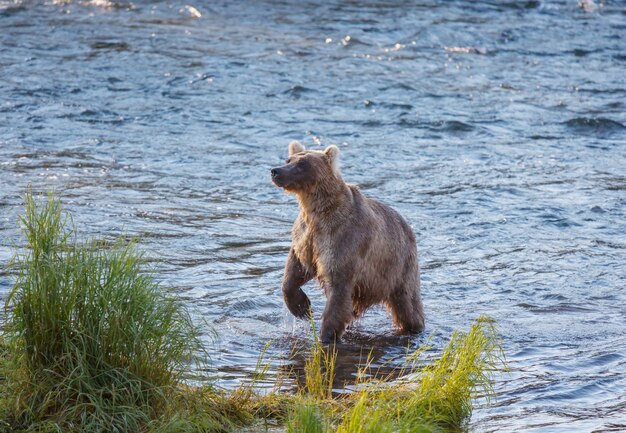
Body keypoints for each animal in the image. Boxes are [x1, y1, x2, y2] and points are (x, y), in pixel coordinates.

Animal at [270, 141, 424, 340]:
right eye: (288, 160)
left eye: (303, 164)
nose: (276, 171)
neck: (317, 212)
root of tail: (407, 226)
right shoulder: (306, 236)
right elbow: (296, 267)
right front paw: (301, 307)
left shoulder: (343, 239)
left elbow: (338, 288)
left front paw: (326, 334)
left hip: (400, 266)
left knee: (408, 303)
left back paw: (415, 326)